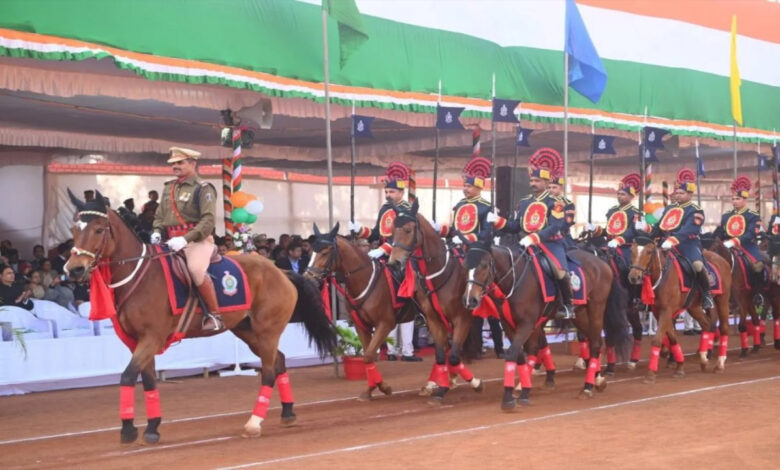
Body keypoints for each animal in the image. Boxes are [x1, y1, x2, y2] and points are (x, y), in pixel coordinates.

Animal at [63, 189, 336, 442]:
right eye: (75, 229)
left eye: (99, 229)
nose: (74, 269)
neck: (139, 275)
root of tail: (280, 271)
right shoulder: (137, 341)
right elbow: (148, 380)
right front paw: (152, 428)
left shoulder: (151, 338)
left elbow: (128, 375)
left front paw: (128, 430)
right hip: (247, 331)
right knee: (278, 361)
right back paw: (287, 412)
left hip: (267, 330)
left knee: (268, 371)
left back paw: (254, 423)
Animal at [304, 224, 418, 400]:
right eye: (311, 252)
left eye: (325, 252)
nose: (308, 279)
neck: (364, 279)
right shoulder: (361, 325)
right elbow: (367, 356)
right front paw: (372, 388)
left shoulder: (385, 324)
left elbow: (369, 355)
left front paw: (382, 387)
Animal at [384, 199, 482, 404]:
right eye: (392, 232)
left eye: (408, 230)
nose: (394, 263)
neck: (439, 273)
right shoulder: (434, 319)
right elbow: (441, 355)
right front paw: (441, 385)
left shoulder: (462, 319)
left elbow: (454, 356)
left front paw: (473, 382)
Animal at [460, 239, 632, 412]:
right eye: (465, 265)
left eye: (484, 265)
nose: (470, 300)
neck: (517, 279)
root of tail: (601, 262)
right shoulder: (509, 325)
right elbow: (520, 355)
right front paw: (523, 390)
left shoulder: (527, 324)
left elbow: (514, 353)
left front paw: (510, 397)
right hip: (580, 313)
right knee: (591, 341)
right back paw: (598, 379)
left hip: (597, 307)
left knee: (596, 343)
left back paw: (587, 387)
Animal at [628, 237, 732, 384]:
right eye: (632, 250)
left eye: (648, 252)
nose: (634, 277)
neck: (662, 276)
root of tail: (721, 260)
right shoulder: (658, 312)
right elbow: (673, 338)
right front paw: (680, 367)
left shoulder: (666, 311)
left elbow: (657, 340)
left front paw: (651, 374)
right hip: (693, 306)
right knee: (706, 324)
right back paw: (703, 358)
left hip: (722, 300)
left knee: (723, 328)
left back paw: (720, 364)